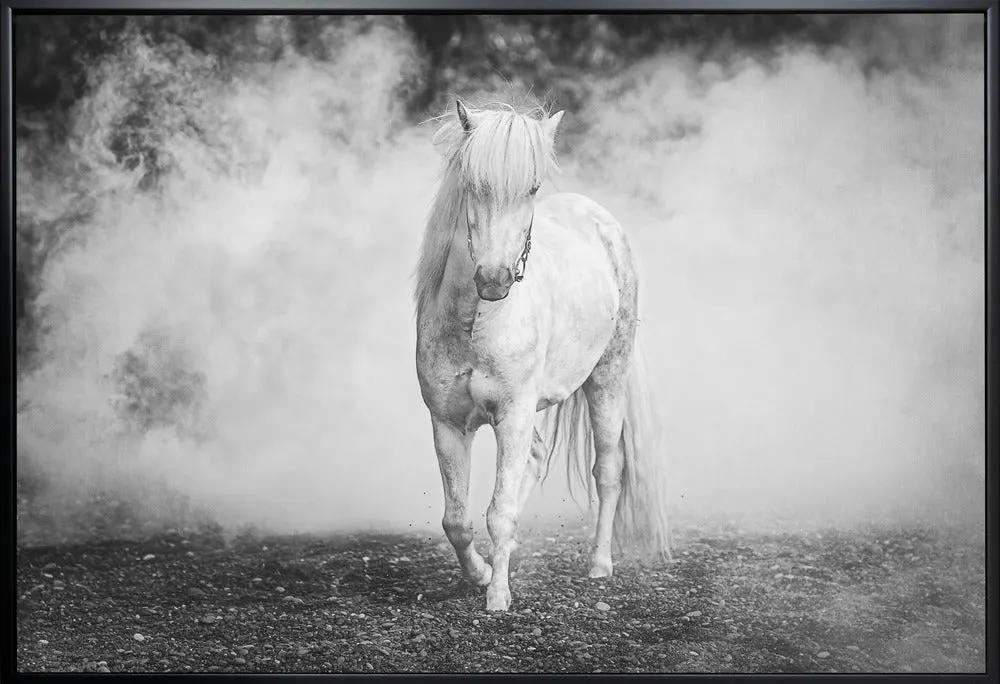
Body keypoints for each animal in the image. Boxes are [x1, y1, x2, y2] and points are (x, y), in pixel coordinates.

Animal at [414, 99, 671, 612]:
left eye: (531, 187)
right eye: (472, 184)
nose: (494, 279)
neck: (477, 322)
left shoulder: (512, 415)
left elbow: (499, 512)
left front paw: (497, 597)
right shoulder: (447, 422)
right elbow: (457, 520)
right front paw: (481, 574)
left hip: (607, 381)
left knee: (607, 471)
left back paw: (599, 565)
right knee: (532, 462)